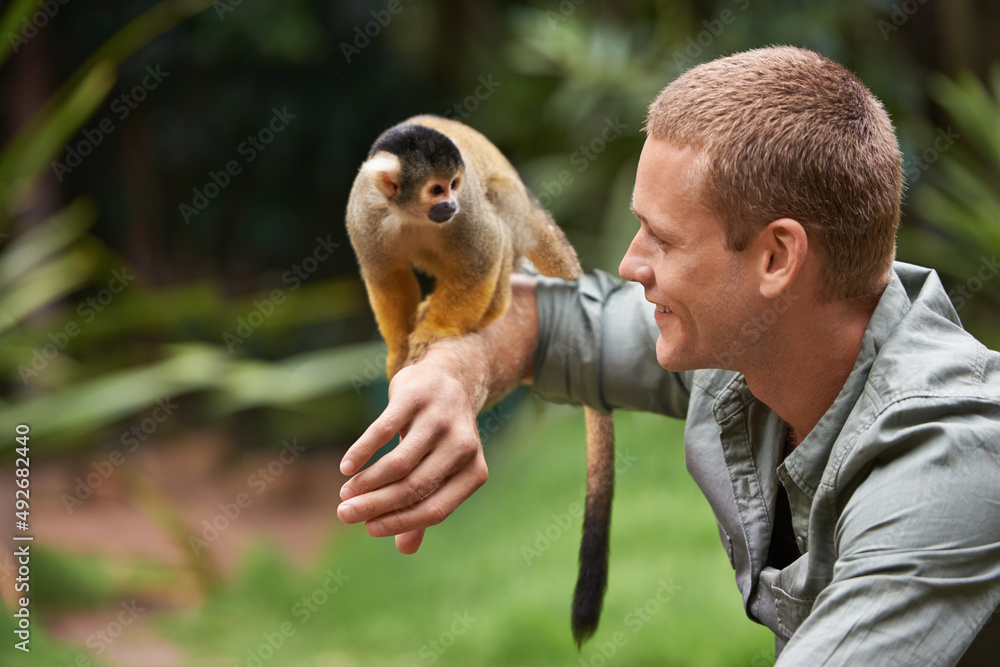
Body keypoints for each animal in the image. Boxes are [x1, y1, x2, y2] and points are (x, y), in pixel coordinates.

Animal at [348, 115, 612, 648]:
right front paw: (398, 347)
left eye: (453, 185)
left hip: (512, 211)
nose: (449, 205)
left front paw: (436, 331)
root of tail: (533, 205)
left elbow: (480, 257)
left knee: (497, 224)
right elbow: (385, 277)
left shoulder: (467, 218)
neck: (407, 214)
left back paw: (492, 308)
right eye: (435, 189)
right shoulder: (365, 215)